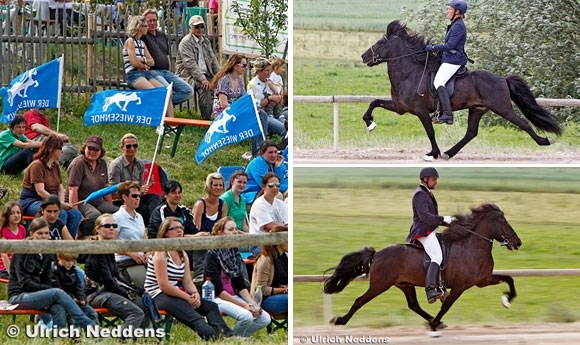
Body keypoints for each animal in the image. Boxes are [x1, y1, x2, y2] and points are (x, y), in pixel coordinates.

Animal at [326, 203, 520, 332]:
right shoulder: (460, 286)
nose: (518, 243)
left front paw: (507, 299)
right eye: (503, 221)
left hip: (405, 285)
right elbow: (446, 305)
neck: (471, 246)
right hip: (380, 285)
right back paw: (340, 320)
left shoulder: (483, 280)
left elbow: (509, 278)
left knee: (413, 305)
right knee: (360, 300)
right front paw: (434, 324)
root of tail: (378, 254)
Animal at [360, 20, 560, 161]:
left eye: (380, 43)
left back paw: (545, 141)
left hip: (502, 108)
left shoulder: (420, 111)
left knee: (523, 123)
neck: (409, 74)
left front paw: (433, 153)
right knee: (471, 132)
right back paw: (449, 153)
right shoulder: (399, 107)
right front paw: (370, 124)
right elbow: (374, 103)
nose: (363, 56)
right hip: (478, 109)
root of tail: (503, 79)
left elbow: (430, 132)